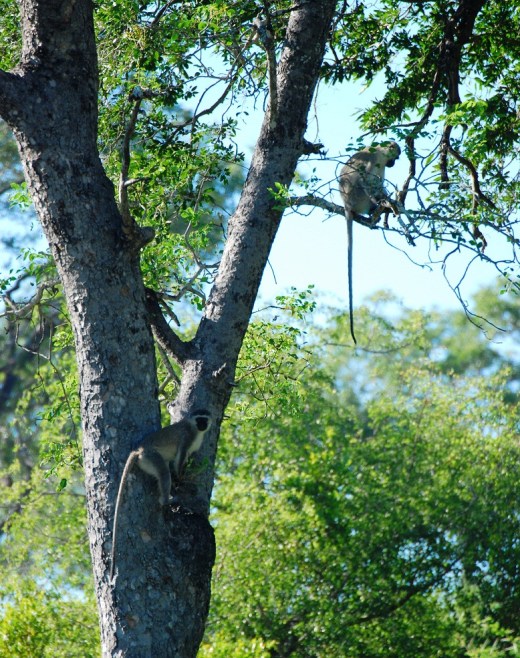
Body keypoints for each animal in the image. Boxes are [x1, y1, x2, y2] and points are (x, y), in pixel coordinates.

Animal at [109, 409, 212, 580]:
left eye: (205, 419)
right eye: (199, 419)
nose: (203, 425)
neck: (196, 430)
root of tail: (139, 450)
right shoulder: (188, 437)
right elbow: (179, 461)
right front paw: (180, 479)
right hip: (150, 457)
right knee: (164, 473)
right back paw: (166, 500)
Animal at [338, 141, 401, 344]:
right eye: (396, 156)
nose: (394, 163)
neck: (380, 152)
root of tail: (347, 205)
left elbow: (378, 182)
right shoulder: (373, 159)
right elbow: (365, 178)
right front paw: (382, 199)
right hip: (358, 197)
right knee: (365, 183)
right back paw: (376, 205)